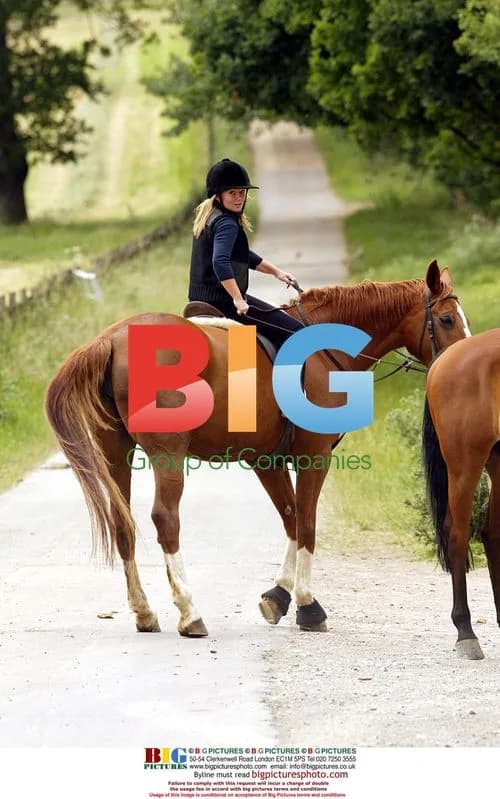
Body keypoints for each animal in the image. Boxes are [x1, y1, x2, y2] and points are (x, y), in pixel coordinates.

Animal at [45, 259, 469, 639]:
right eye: (447, 319)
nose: (460, 365)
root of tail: (112, 339)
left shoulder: (267, 460)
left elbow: (291, 519)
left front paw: (278, 597)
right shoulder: (315, 456)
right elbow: (307, 523)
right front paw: (308, 605)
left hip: (116, 452)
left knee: (123, 524)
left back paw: (145, 612)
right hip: (168, 455)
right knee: (166, 520)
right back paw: (190, 613)